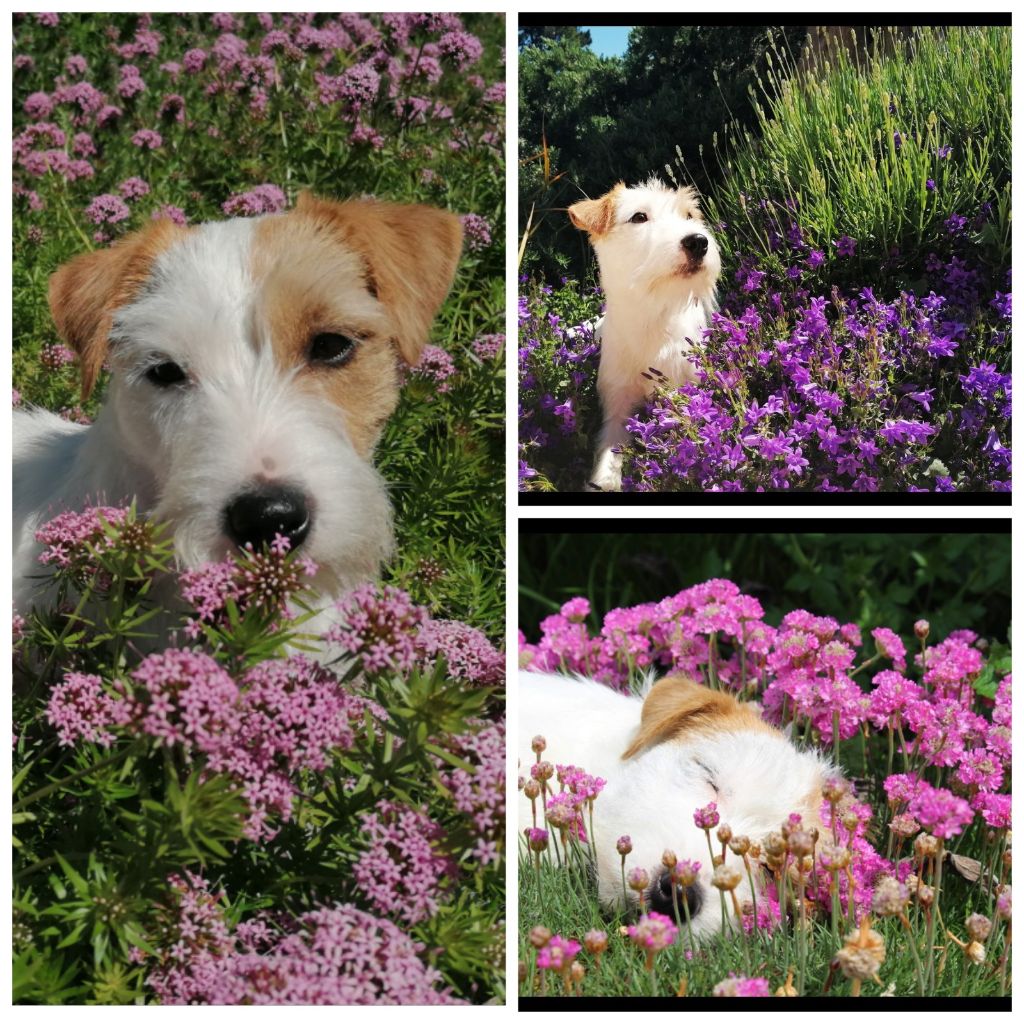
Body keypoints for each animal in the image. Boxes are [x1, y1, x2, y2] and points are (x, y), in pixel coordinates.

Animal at [569, 177, 720, 491]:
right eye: (639, 216)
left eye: (688, 215)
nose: (698, 241)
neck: (652, 318)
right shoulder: (617, 403)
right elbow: (610, 447)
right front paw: (605, 480)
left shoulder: (687, 388)